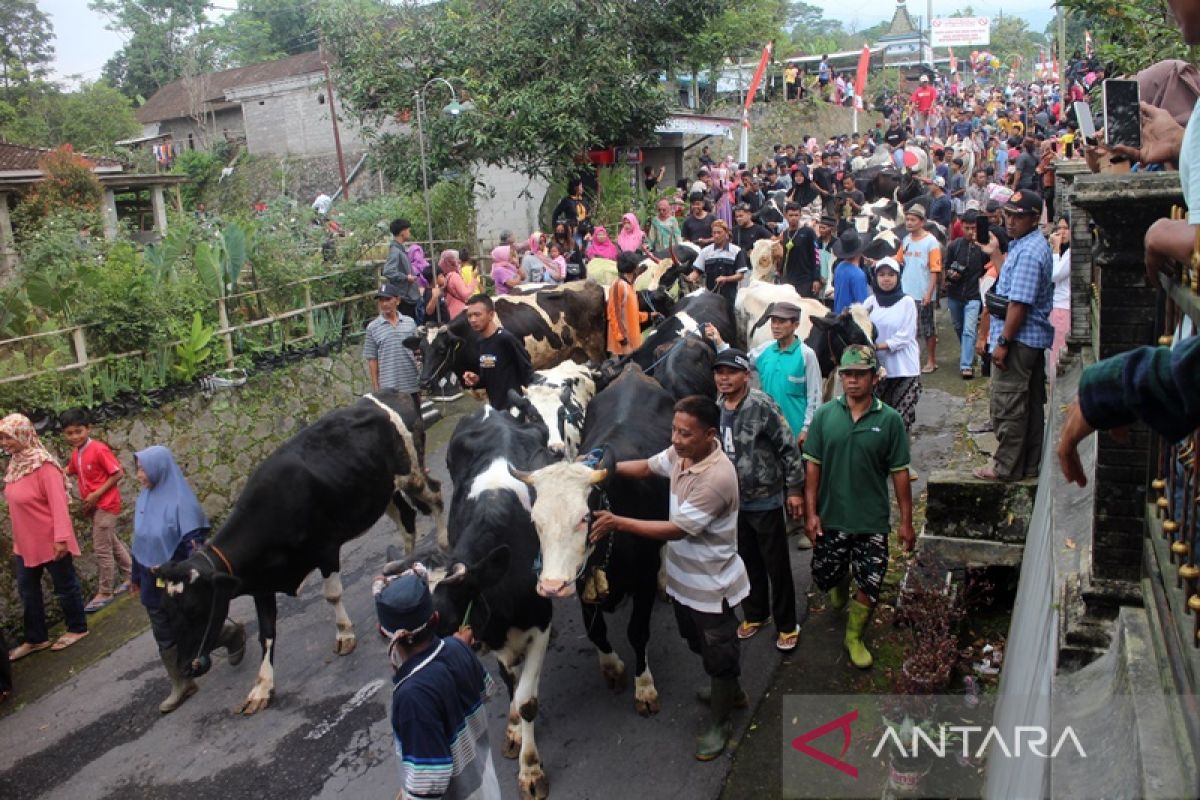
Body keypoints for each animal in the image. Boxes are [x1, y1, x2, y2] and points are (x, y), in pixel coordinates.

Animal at [157, 391, 444, 714]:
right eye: (166, 611)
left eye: (194, 608)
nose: (185, 666)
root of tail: (395, 393)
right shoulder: (261, 583)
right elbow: (267, 633)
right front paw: (261, 687)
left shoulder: (326, 548)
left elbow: (332, 594)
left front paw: (344, 634)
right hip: (384, 492)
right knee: (406, 521)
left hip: (412, 475)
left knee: (436, 495)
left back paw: (444, 540)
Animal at [520, 364, 681, 719]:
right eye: (535, 521)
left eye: (584, 517)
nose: (550, 586)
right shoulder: (580, 580)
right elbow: (595, 630)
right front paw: (613, 668)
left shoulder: (642, 580)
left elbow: (637, 631)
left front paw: (644, 688)